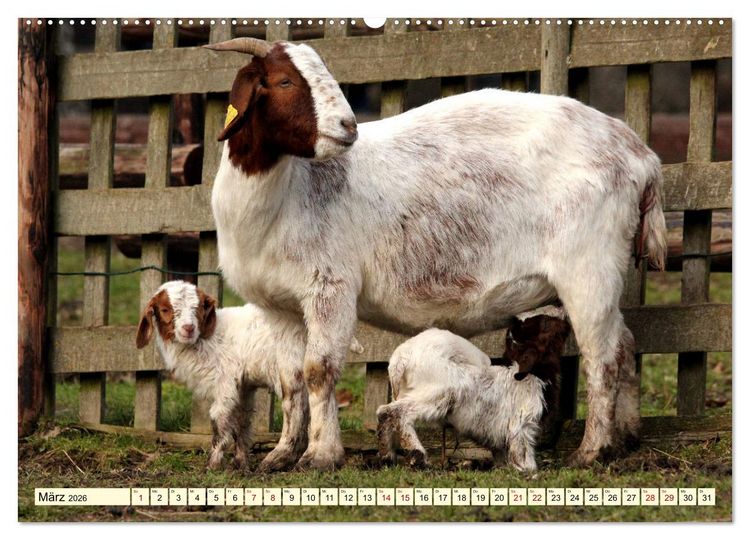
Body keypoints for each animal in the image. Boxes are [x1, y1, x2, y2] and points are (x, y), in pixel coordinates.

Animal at [377, 313, 569, 472]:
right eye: (545, 324)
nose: (566, 321)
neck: (534, 375)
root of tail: (401, 358)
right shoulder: (522, 424)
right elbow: (523, 453)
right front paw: (528, 471)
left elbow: (501, 452)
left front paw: (502, 467)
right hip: (439, 394)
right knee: (395, 412)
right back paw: (417, 457)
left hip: (406, 392)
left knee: (384, 413)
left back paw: (386, 456)